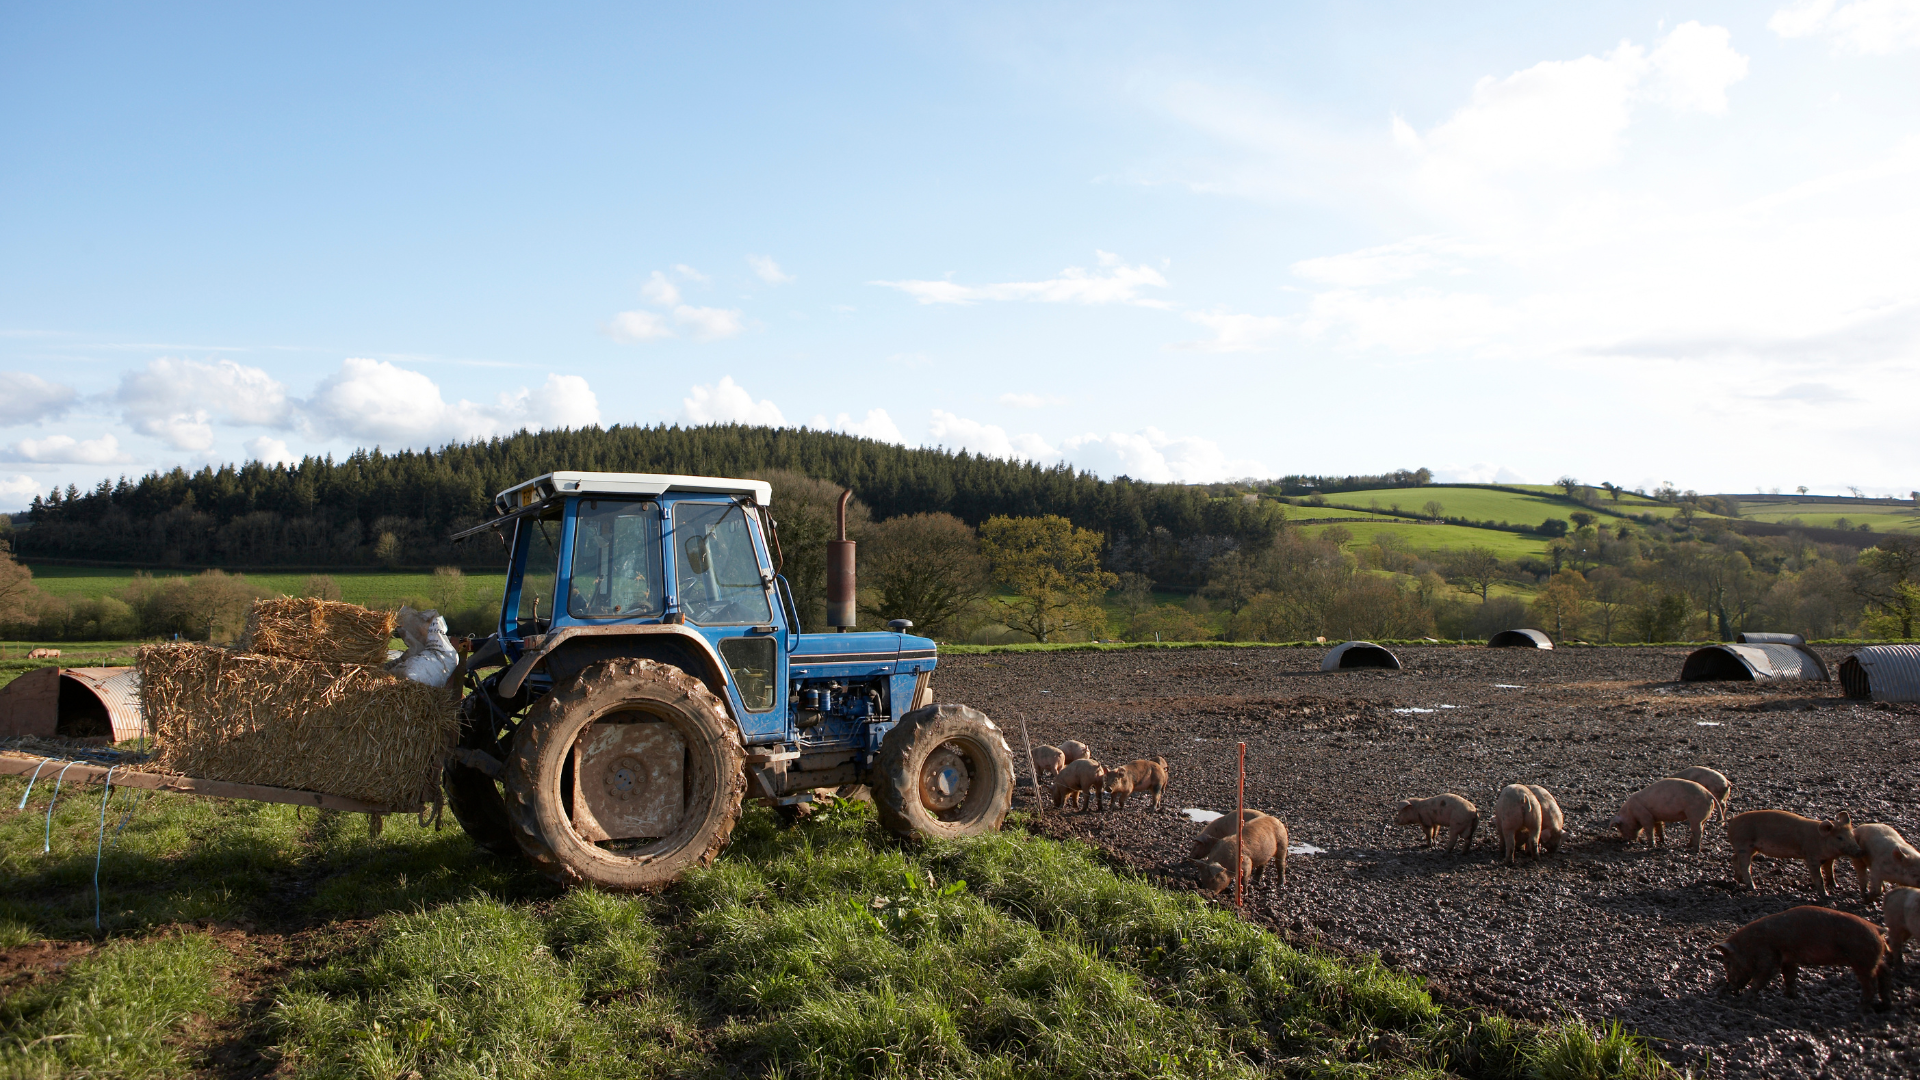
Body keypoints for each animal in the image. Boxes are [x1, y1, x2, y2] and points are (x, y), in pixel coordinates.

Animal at [1712, 903, 1889, 1014]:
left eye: (1728, 962)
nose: (1728, 988)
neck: (1750, 945)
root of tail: (1878, 929)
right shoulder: (1789, 959)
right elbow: (1789, 976)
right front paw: (1791, 996)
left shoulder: (1769, 957)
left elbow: (1763, 977)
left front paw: (1746, 999)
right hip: (1874, 961)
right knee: (1884, 974)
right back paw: (1883, 1005)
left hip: (1863, 962)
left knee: (1870, 984)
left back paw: (1859, 1009)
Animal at [1728, 803, 1858, 895]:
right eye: (1839, 837)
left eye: (1852, 834)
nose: (1859, 850)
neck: (1820, 839)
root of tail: (1732, 820)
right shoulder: (1811, 857)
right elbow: (1819, 877)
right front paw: (1826, 895)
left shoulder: (1829, 859)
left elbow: (1830, 871)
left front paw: (1837, 887)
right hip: (1744, 844)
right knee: (1745, 865)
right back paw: (1753, 888)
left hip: (1750, 848)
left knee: (1734, 858)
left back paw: (1739, 880)